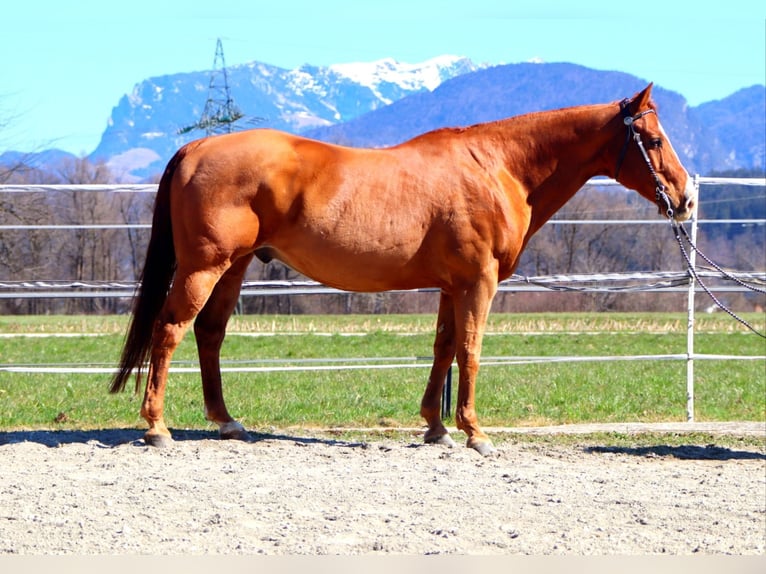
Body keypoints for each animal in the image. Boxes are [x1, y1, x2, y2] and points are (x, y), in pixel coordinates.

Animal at [110, 83, 696, 455]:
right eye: (653, 140)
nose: (687, 199)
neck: (497, 167)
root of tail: (197, 145)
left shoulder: (451, 285)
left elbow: (444, 348)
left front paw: (437, 427)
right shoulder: (478, 283)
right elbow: (471, 350)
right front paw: (475, 433)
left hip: (232, 269)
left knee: (208, 334)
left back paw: (227, 422)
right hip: (203, 268)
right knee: (170, 329)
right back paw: (157, 427)